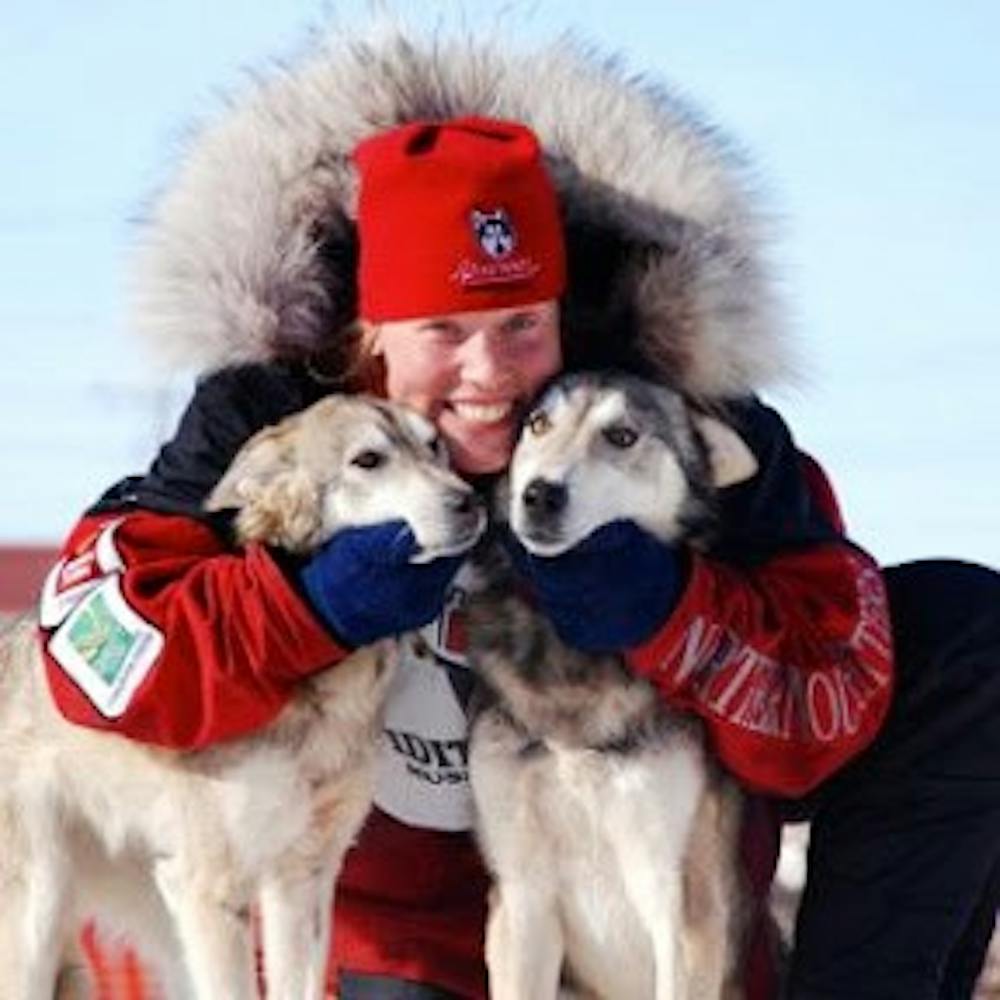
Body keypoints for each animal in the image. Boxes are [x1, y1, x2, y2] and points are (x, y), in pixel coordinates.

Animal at [0, 394, 486, 1000]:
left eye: (434, 445)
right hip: (36, 920)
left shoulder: (303, 878)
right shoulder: (211, 891)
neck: (320, 687)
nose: (469, 502)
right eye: (368, 460)